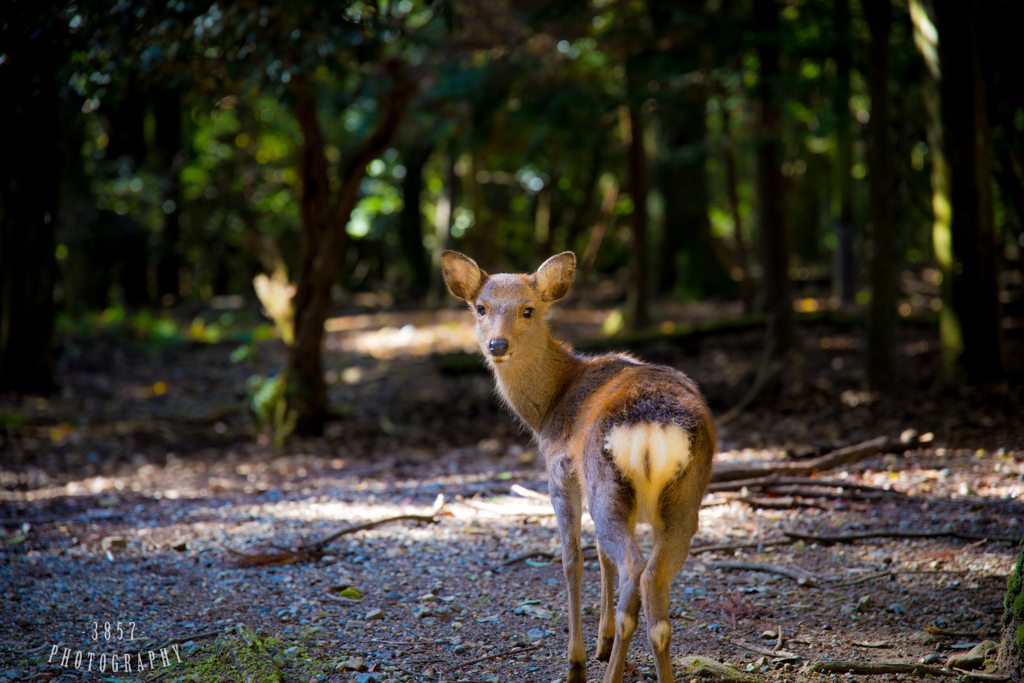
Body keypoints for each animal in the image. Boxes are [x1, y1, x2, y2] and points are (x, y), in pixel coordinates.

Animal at [442, 250, 720, 683]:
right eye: (480, 307)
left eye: (528, 309)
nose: (497, 344)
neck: (550, 406)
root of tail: (653, 427)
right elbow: (600, 557)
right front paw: (601, 643)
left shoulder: (561, 468)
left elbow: (572, 557)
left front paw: (576, 661)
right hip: (685, 496)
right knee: (653, 586)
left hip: (607, 482)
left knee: (633, 569)